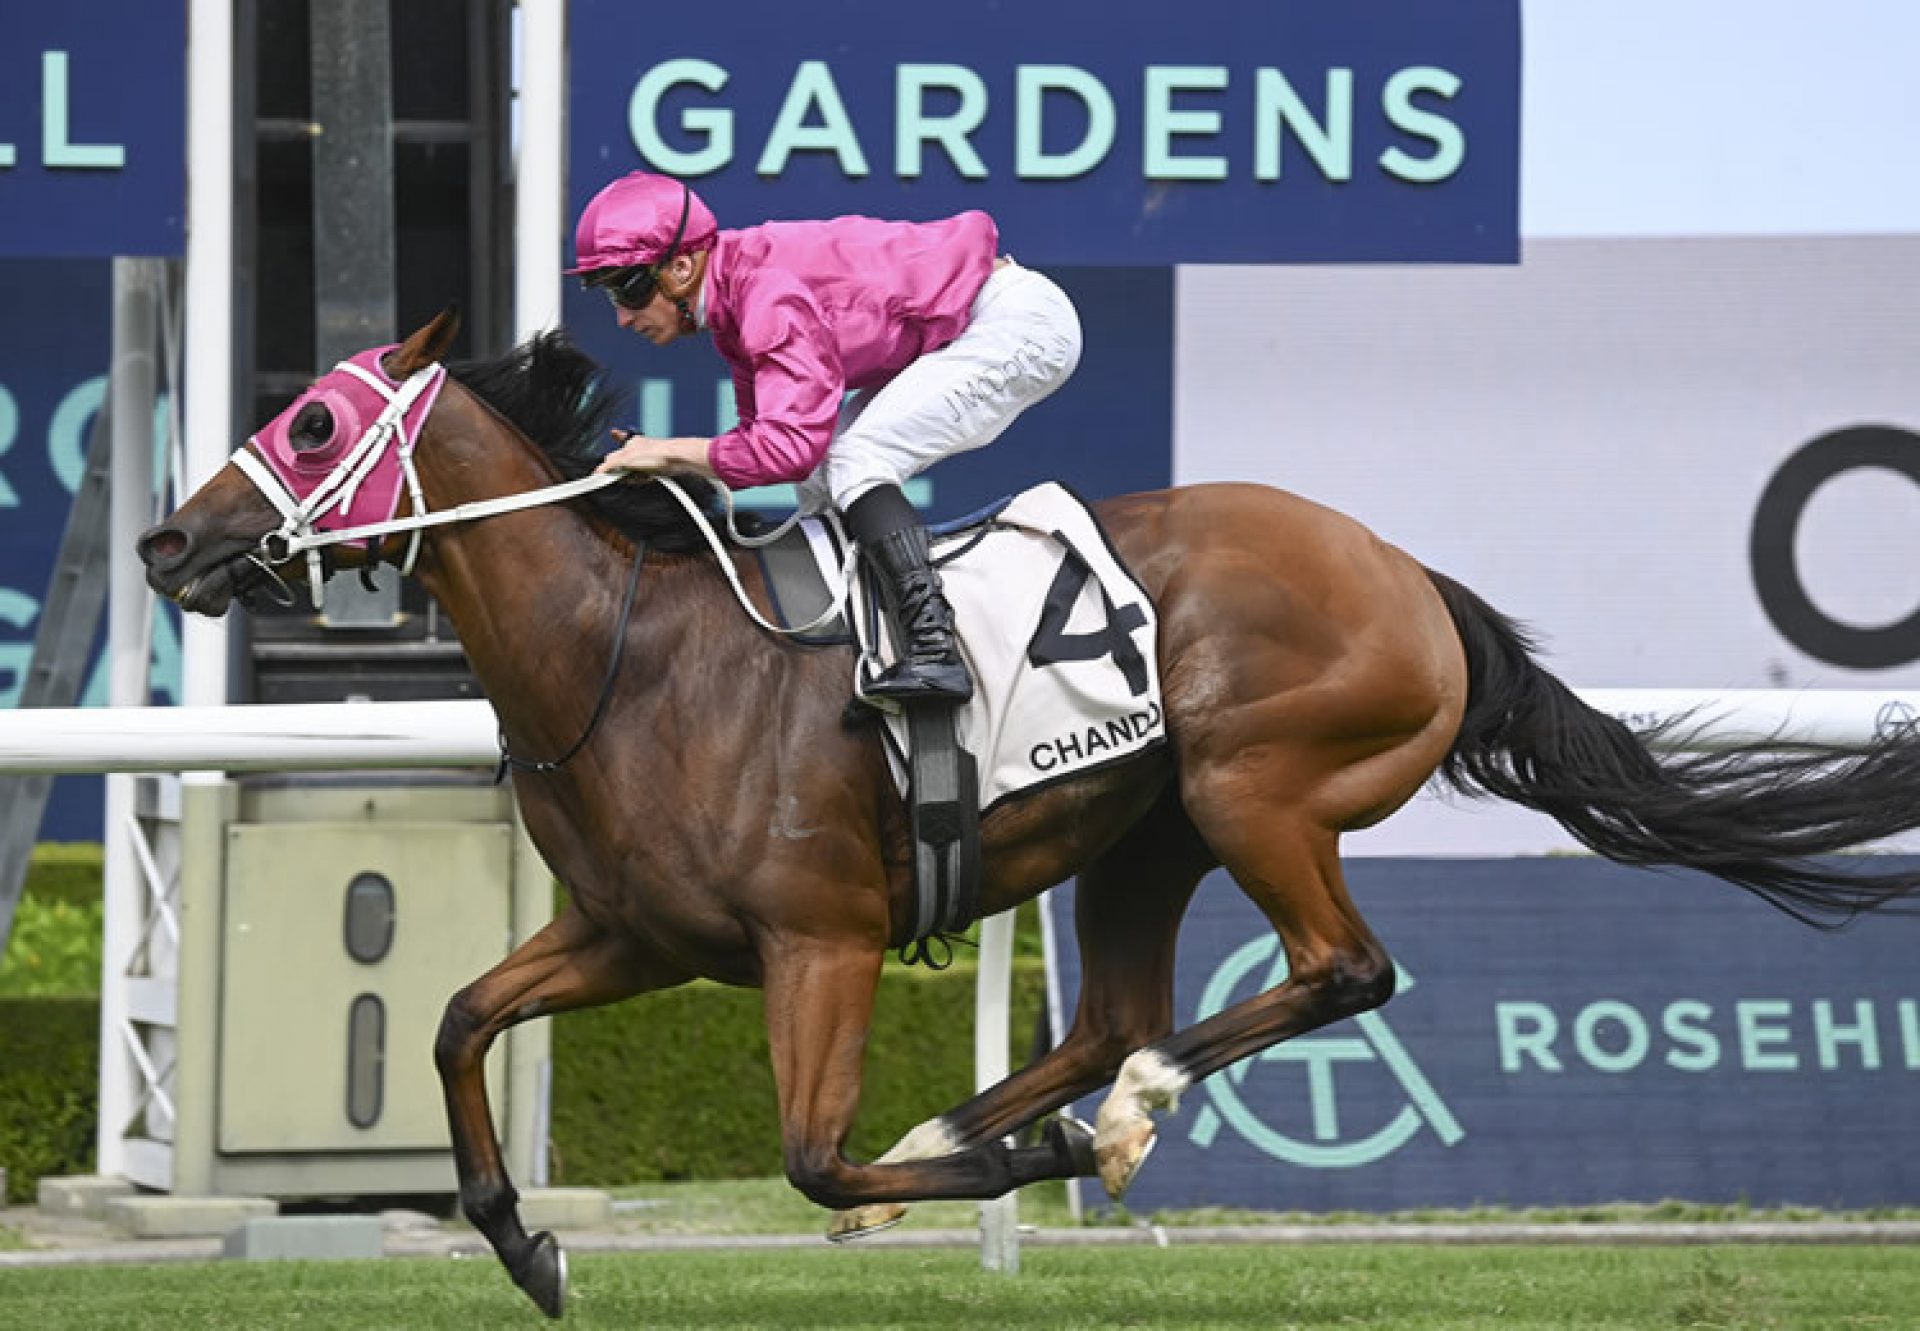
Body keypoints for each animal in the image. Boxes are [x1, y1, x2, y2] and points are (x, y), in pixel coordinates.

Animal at [142, 305, 1920, 1313]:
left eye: (312, 420)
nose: (168, 542)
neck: (629, 653)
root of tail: (1414, 576)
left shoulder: (820, 938)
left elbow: (809, 1157)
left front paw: (1008, 1163)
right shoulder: (638, 934)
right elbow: (453, 1017)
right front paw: (522, 1241)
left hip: (1255, 786)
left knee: (1335, 970)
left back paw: (1111, 1116)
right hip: (1144, 837)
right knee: (1114, 1009)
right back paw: (999, 1120)